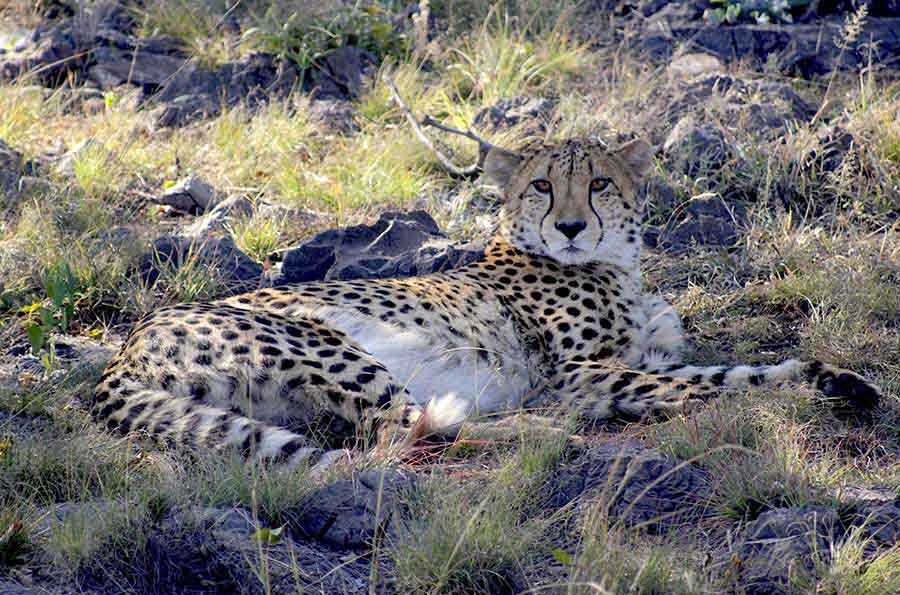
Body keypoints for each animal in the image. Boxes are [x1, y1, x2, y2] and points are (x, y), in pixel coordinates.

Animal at [91, 137, 881, 470]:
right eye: (542, 186)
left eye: (598, 184)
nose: (571, 226)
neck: (615, 267)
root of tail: (126, 346)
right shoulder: (583, 375)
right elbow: (708, 384)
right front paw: (803, 389)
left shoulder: (643, 353)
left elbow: (719, 368)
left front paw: (834, 381)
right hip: (323, 340)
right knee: (400, 433)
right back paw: (543, 431)